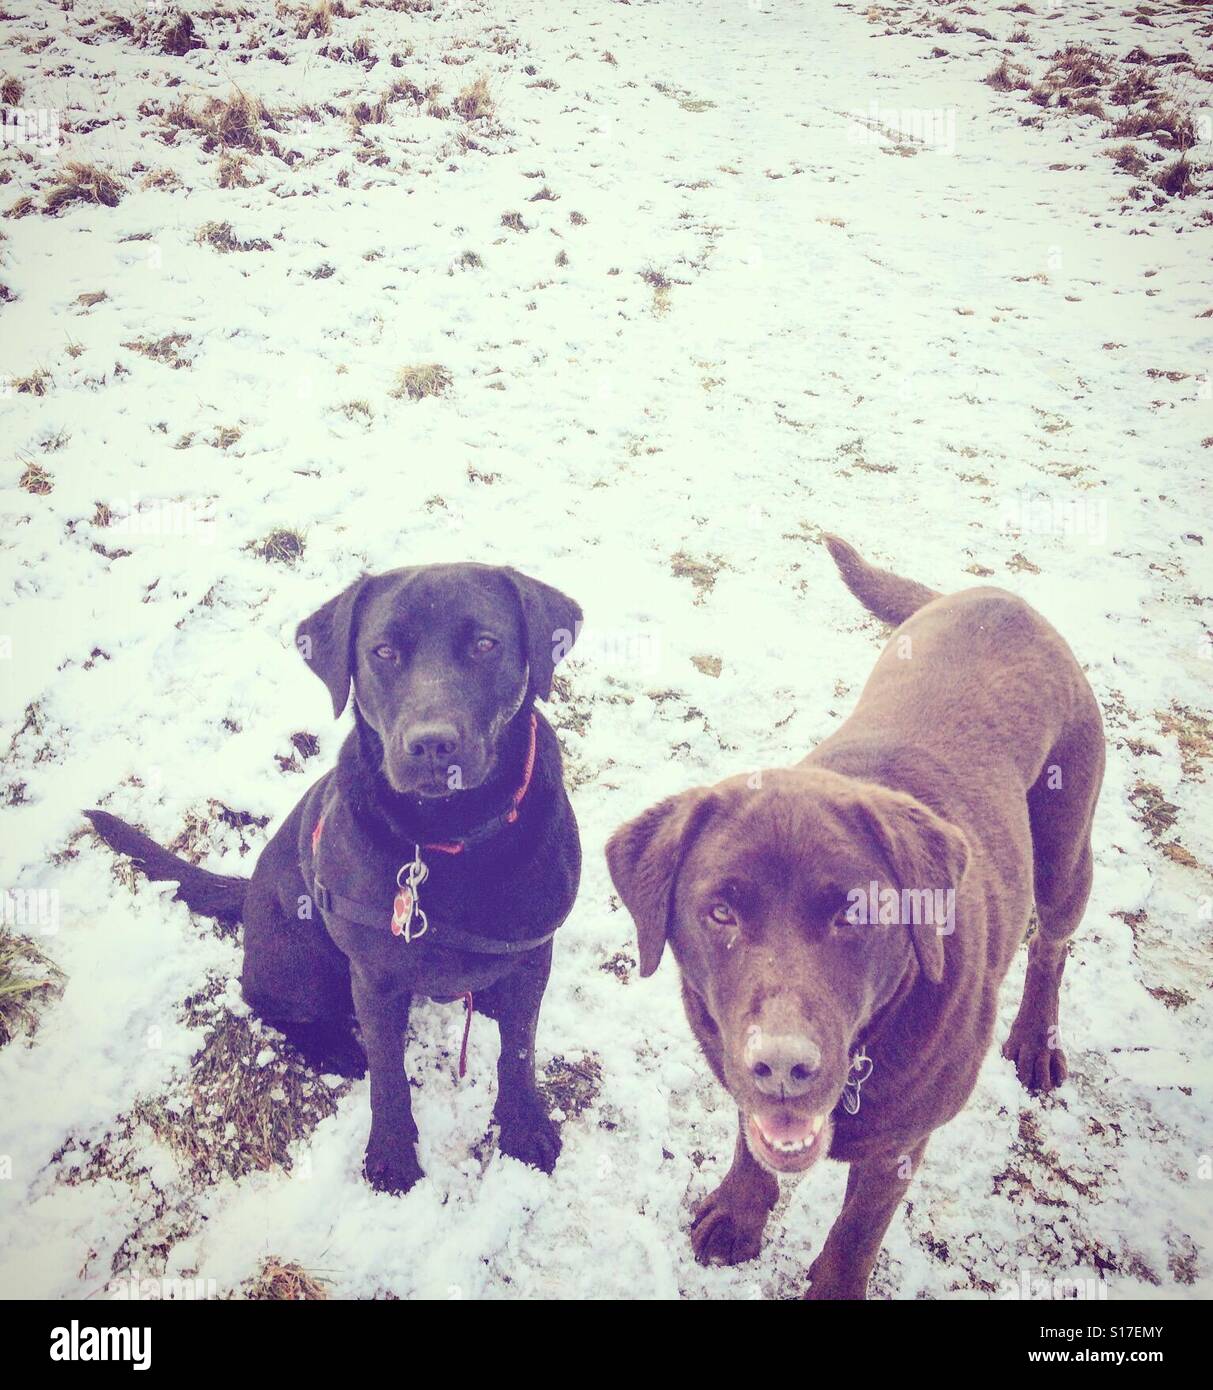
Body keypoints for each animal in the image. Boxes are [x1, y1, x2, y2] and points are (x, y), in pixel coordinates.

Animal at [85, 564, 580, 1195]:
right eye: (384, 651)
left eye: (486, 645)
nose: (432, 743)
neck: (451, 837)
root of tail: (248, 890)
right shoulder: (374, 975)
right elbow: (389, 1075)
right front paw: (392, 1157)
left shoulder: (534, 952)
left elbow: (518, 1051)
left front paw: (524, 1131)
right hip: (305, 967)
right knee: (264, 999)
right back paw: (334, 1050)